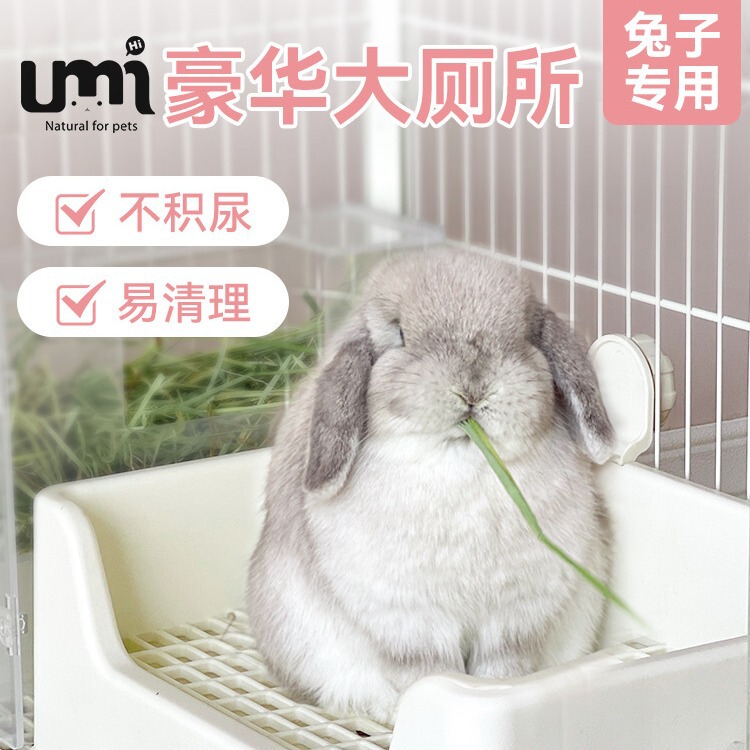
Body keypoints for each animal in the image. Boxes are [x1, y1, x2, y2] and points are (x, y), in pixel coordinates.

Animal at [246, 247, 614, 725]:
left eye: (525, 335)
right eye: (400, 334)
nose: (473, 387)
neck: (461, 456)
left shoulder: (513, 620)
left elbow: (502, 669)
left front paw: (495, 690)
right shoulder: (411, 623)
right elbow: (432, 674)